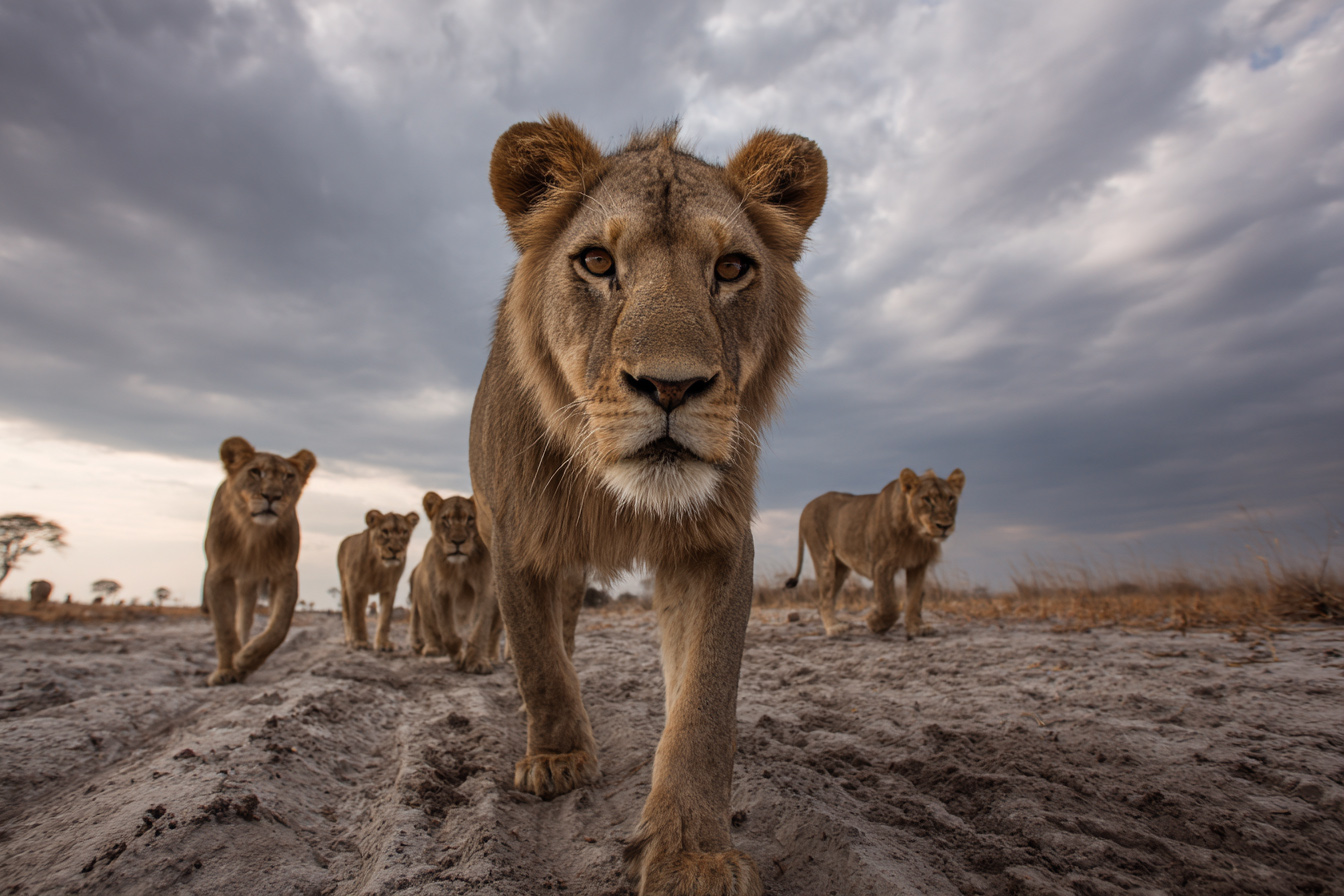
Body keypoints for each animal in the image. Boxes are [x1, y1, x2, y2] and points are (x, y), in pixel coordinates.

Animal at [201, 436, 317, 686]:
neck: (254, 534)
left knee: (247, 620)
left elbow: (279, 627)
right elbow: (224, 628)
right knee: (239, 623)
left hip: (250, 585)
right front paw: (226, 670)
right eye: (255, 472)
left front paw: (247, 659)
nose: (272, 496)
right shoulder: (218, 575)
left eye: (288, 476)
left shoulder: (285, 574)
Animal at [337, 509, 419, 651]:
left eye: (404, 532)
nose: (395, 549)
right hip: (344, 586)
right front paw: (359, 641)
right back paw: (349, 639)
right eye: (385, 531)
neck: (379, 567)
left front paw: (383, 644)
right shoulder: (354, 587)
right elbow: (357, 616)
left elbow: (385, 617)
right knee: (347, 613)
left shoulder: (390, 589)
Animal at [406, 492, 502, 674]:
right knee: (427, 623)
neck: (461, 566)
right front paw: (457, 656)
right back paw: (431, 649)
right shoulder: (440, 592)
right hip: (421, 598)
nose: (458, 541)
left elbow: (480, 628)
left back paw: (493, 657)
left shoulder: (485, 589)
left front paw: (477, 662)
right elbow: (448, 632)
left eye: (470, 519)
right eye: (446, 519)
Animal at [468, 115, 826, 895]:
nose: (670, 387)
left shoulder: (717, 542)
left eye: (731, 269)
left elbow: (704, 702)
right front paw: (559, 760)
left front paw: (692, 853)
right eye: (598, 262)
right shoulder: (513, 534)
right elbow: (536, 656)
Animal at [785, 468, 965, 640]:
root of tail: (806, 506)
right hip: (824, 558)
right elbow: (889, 605)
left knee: (827, 598)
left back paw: (837, 623)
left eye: (950, 499)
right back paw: (834, 628)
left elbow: (914, 599)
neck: (916, 534)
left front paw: (916, 628)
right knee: (824, 598)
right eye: (927, 499)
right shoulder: (881, 565)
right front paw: (875, 623)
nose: (945, 526)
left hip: (841, 567)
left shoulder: (918, 565)